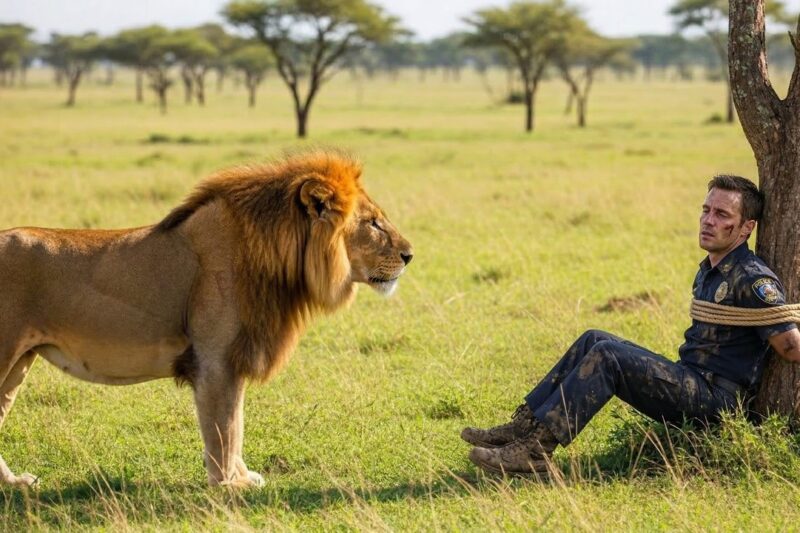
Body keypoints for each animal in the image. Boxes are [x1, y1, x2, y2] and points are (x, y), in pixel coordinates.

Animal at [0, 150, 413, 488]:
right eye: (373, 223)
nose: (410, 255)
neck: (273, 257)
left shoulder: (235, 357)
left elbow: (236, 421)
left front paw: (241, 477)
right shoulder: (215, 360)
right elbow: (224, 426)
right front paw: (229, 485)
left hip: (19, 364)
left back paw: (15, 483)